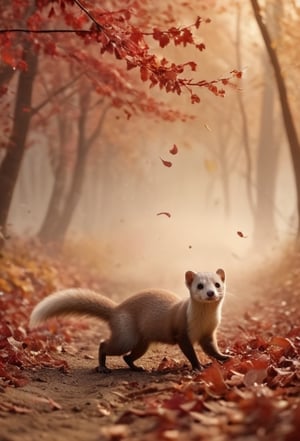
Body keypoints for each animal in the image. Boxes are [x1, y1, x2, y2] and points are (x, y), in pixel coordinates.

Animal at [29, 268, 229, 372]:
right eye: (200, 285)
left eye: (217, 284)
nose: (210, 293)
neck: (203, 321)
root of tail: (117, 309)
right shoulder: (182, 333)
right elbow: (190, 352)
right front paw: (198, 366)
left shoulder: (209, 334)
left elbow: (212, 349)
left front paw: (226, 357)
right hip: (126, 337)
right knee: (105, 344)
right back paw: (103, 368)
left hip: (142, 343)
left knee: (127, 357)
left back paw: (137, 367)